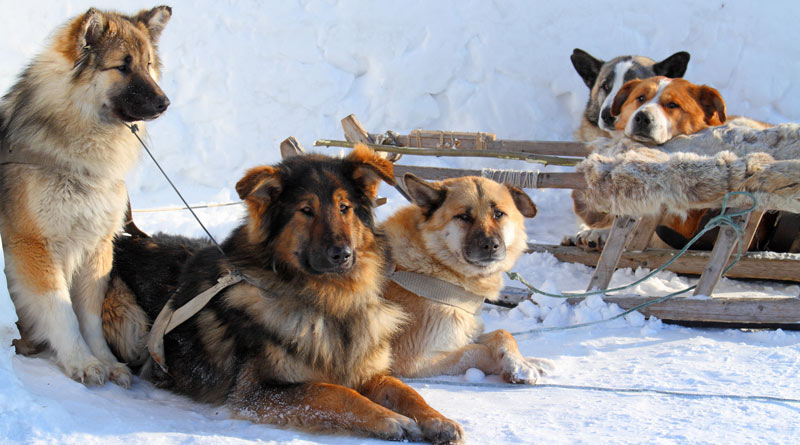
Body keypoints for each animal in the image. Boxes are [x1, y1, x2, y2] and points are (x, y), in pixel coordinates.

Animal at [0, 5, 172, 386]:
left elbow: (90, 316)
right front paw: (79, 360)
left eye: (148, 64)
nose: (164, 102)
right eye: (122, 66)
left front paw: (106, 361)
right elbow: (60, 309)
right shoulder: (34, 246)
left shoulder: (96, 245)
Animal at [101, 145, 462, 440]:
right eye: (306, 210)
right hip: (125, 316)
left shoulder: (365, 370)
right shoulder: (257, 392)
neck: (330, 302)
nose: (343, 255)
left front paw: (437, 419)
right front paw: (390, 420)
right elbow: (333, 392)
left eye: (344, 207)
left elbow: (404, 391)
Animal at [380, 175, 552, 384]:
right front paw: (514, 365)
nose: (490, 245)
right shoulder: (413, 360)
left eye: (499, 214)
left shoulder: (466, 332)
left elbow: (502, 333)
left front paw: (524, 361)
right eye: (463, 216)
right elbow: (477, 352)